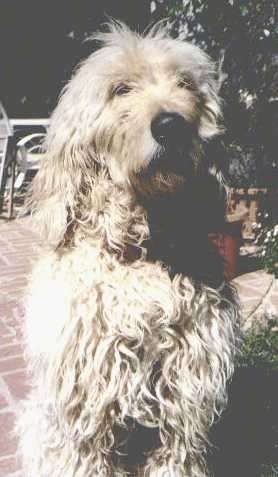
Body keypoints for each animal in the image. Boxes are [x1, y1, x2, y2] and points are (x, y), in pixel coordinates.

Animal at [17, 22, 239, 476]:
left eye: (185, 84)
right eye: (120, 89)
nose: (170, 124)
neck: (139, 253)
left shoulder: (185, 402)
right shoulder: (84, 409)